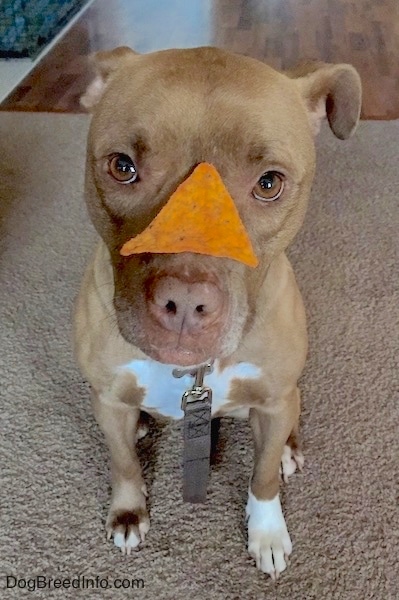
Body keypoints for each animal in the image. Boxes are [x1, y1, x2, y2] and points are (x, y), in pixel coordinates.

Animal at [72, 44, 362, 580]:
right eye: (122, 166)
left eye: (269, 183)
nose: (185, 303)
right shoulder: (107, 399)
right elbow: (123, 464)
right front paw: (128, 512)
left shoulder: (274, 400)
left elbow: (263, 477)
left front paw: (266, 531)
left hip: (284, 396)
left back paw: (288, 449)